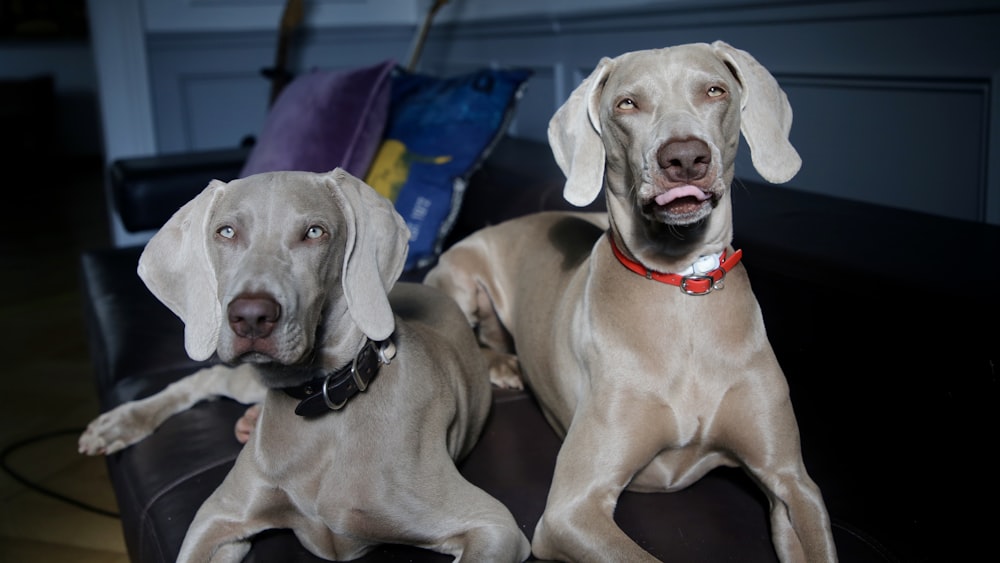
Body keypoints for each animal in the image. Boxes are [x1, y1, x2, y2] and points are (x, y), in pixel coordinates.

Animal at [79, 169, 532, 563]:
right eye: (226, 231)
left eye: (315, 232)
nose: (251, 316)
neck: (324, 402)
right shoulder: (217, 517)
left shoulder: (494, 527)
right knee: (210, 376)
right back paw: (119, 423)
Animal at [426, 40, 840, 563]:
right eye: (627, 104)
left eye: (714, 91)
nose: (684, 158)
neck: (681, 286)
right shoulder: (571, 510)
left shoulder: (793, 484)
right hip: (460, 278)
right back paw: (502, 365)